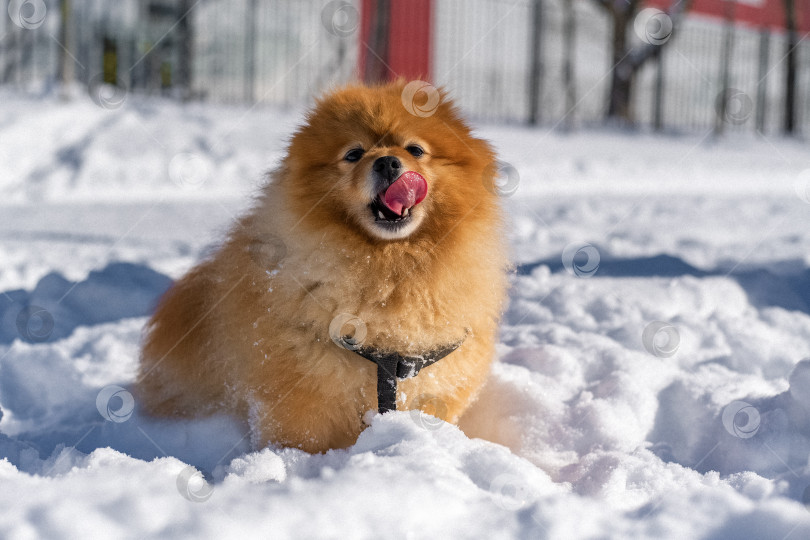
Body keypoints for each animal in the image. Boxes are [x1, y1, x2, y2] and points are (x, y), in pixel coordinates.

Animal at [136, 79, 508, 452]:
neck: (388, 267)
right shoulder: (297, 399)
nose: (388, 162)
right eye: (354, 154)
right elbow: (300, 440)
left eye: (415, 150)